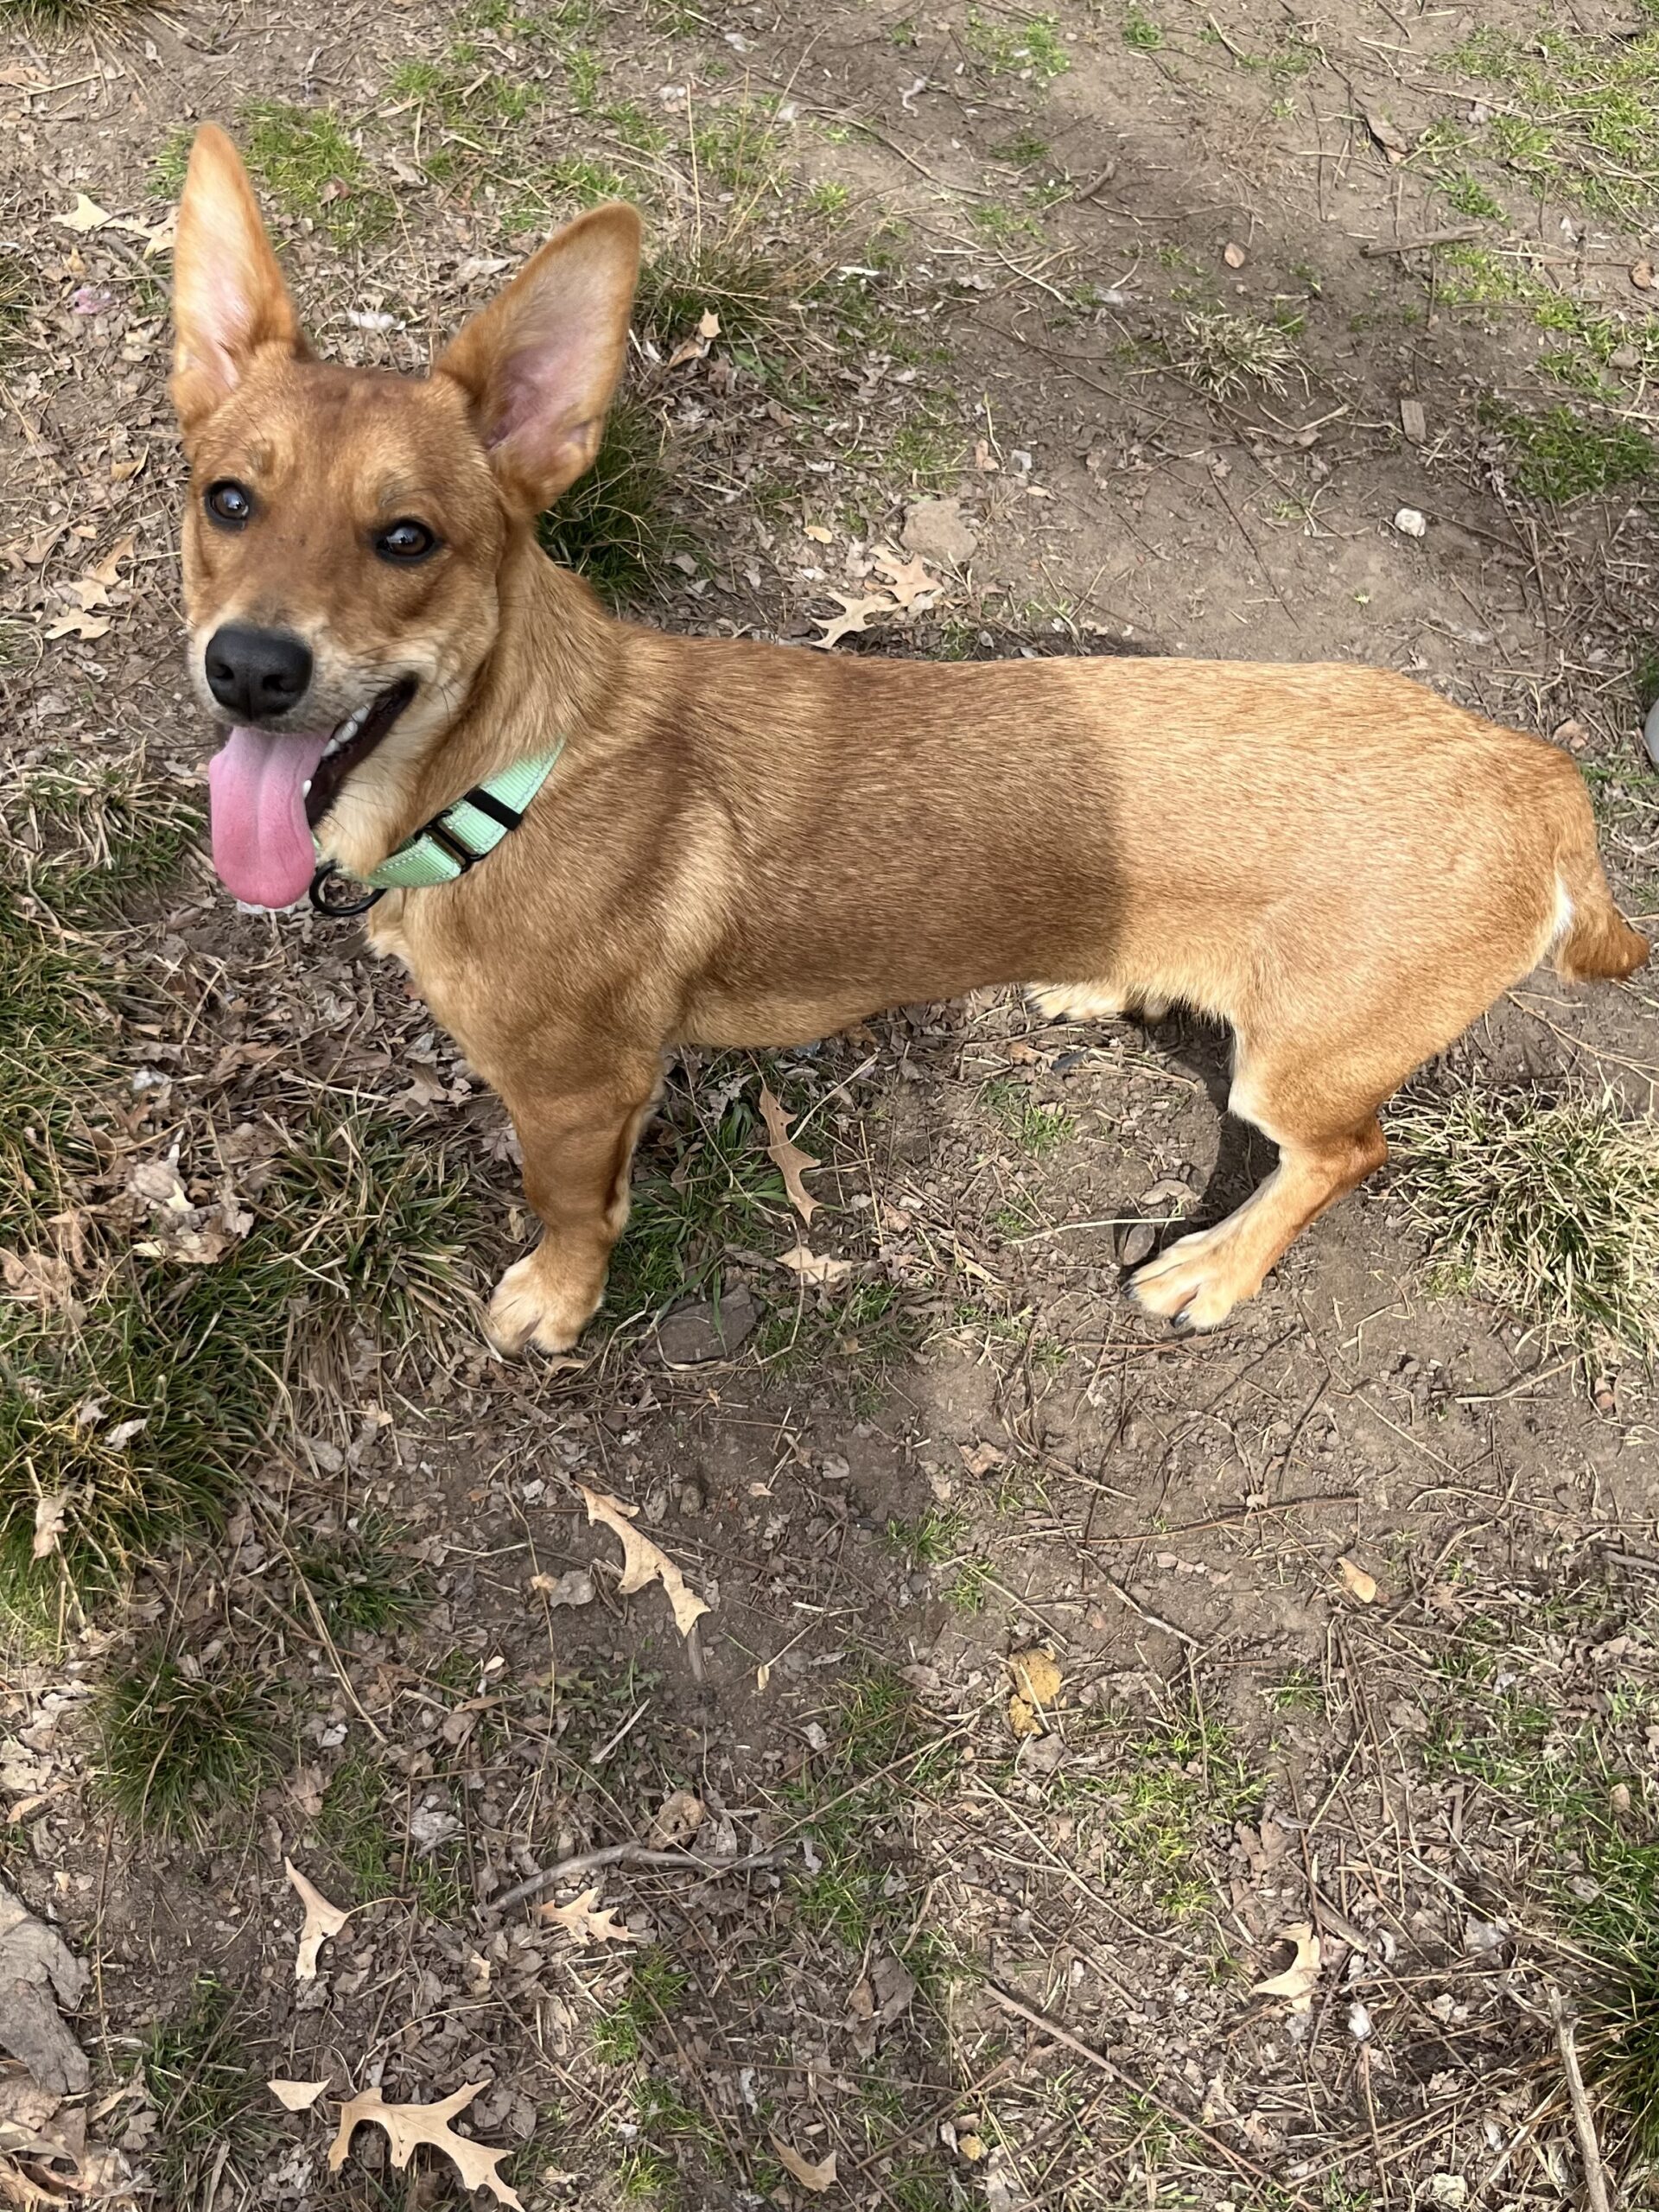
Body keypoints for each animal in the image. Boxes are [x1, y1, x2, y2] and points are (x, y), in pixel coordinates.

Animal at [169, 124, 1648, 1354]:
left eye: (407, 539)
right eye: (227, 500)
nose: (249, 668)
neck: (510, 778)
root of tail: (1534, 772)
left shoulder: (579, 1093)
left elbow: (572, 1210)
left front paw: (559, 1300)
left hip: (1304, 1067)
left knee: (1344, 1156)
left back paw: (1216, 1269)